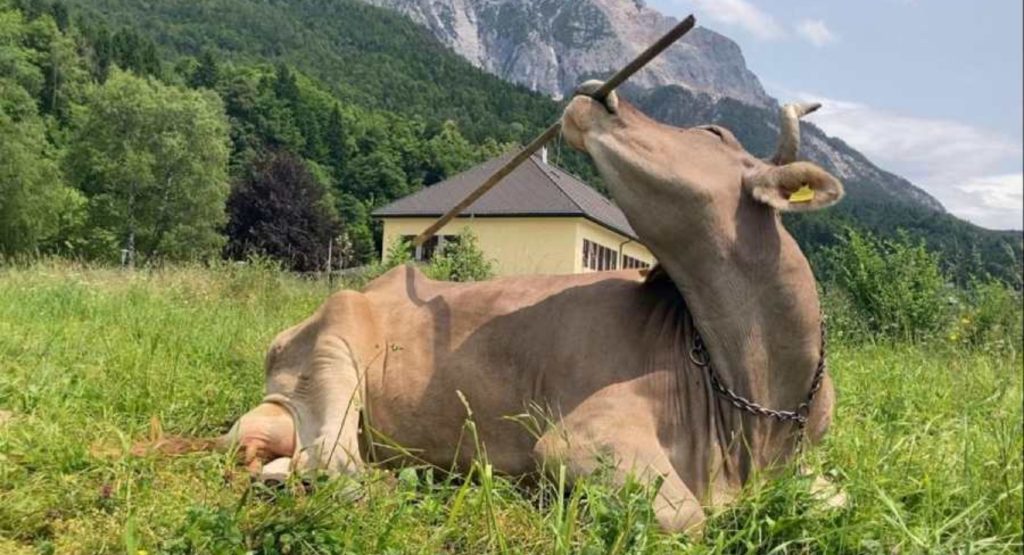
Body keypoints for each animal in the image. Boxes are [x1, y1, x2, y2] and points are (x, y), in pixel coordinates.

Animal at [179, 84, 845, 535]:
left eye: (712, 134)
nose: (598, 95)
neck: (756, 403)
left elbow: (839, 498)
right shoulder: (578, 439)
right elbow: (688, 517)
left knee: (296, 460)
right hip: (334, 353)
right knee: (335, 466)